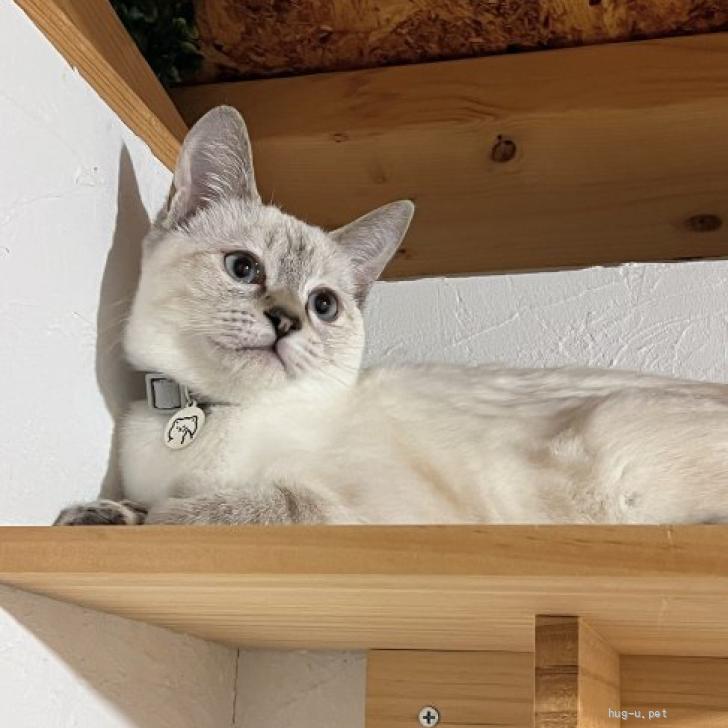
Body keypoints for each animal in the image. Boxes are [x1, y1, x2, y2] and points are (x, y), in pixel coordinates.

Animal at [56, 105, 728, 527]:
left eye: (323, 304)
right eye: (244, 269)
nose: (286, 321)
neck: (215, 420)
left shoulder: (378, 511)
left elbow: (246, 506)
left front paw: (161, 512)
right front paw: (99, 513)